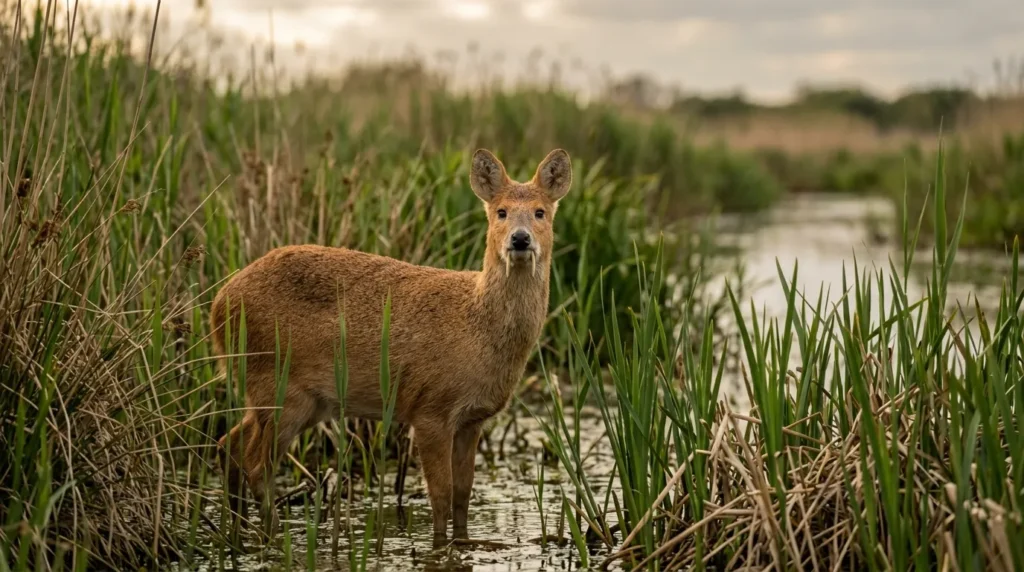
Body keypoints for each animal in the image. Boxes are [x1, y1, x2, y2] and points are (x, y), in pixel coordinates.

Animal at [212, 148, 573, 546]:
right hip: (277, 386)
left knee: (229, 444)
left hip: (293, 398)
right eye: (501, 211)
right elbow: (441, 495)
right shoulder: (431, 409)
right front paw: (439, 546)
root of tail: (218, 305)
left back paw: (238, 531)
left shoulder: (472, 418)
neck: (476, 324)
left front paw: (463, 543)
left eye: (540, 211)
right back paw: (273, 537)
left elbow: (464, 495)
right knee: (255, 463)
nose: (520, 240)